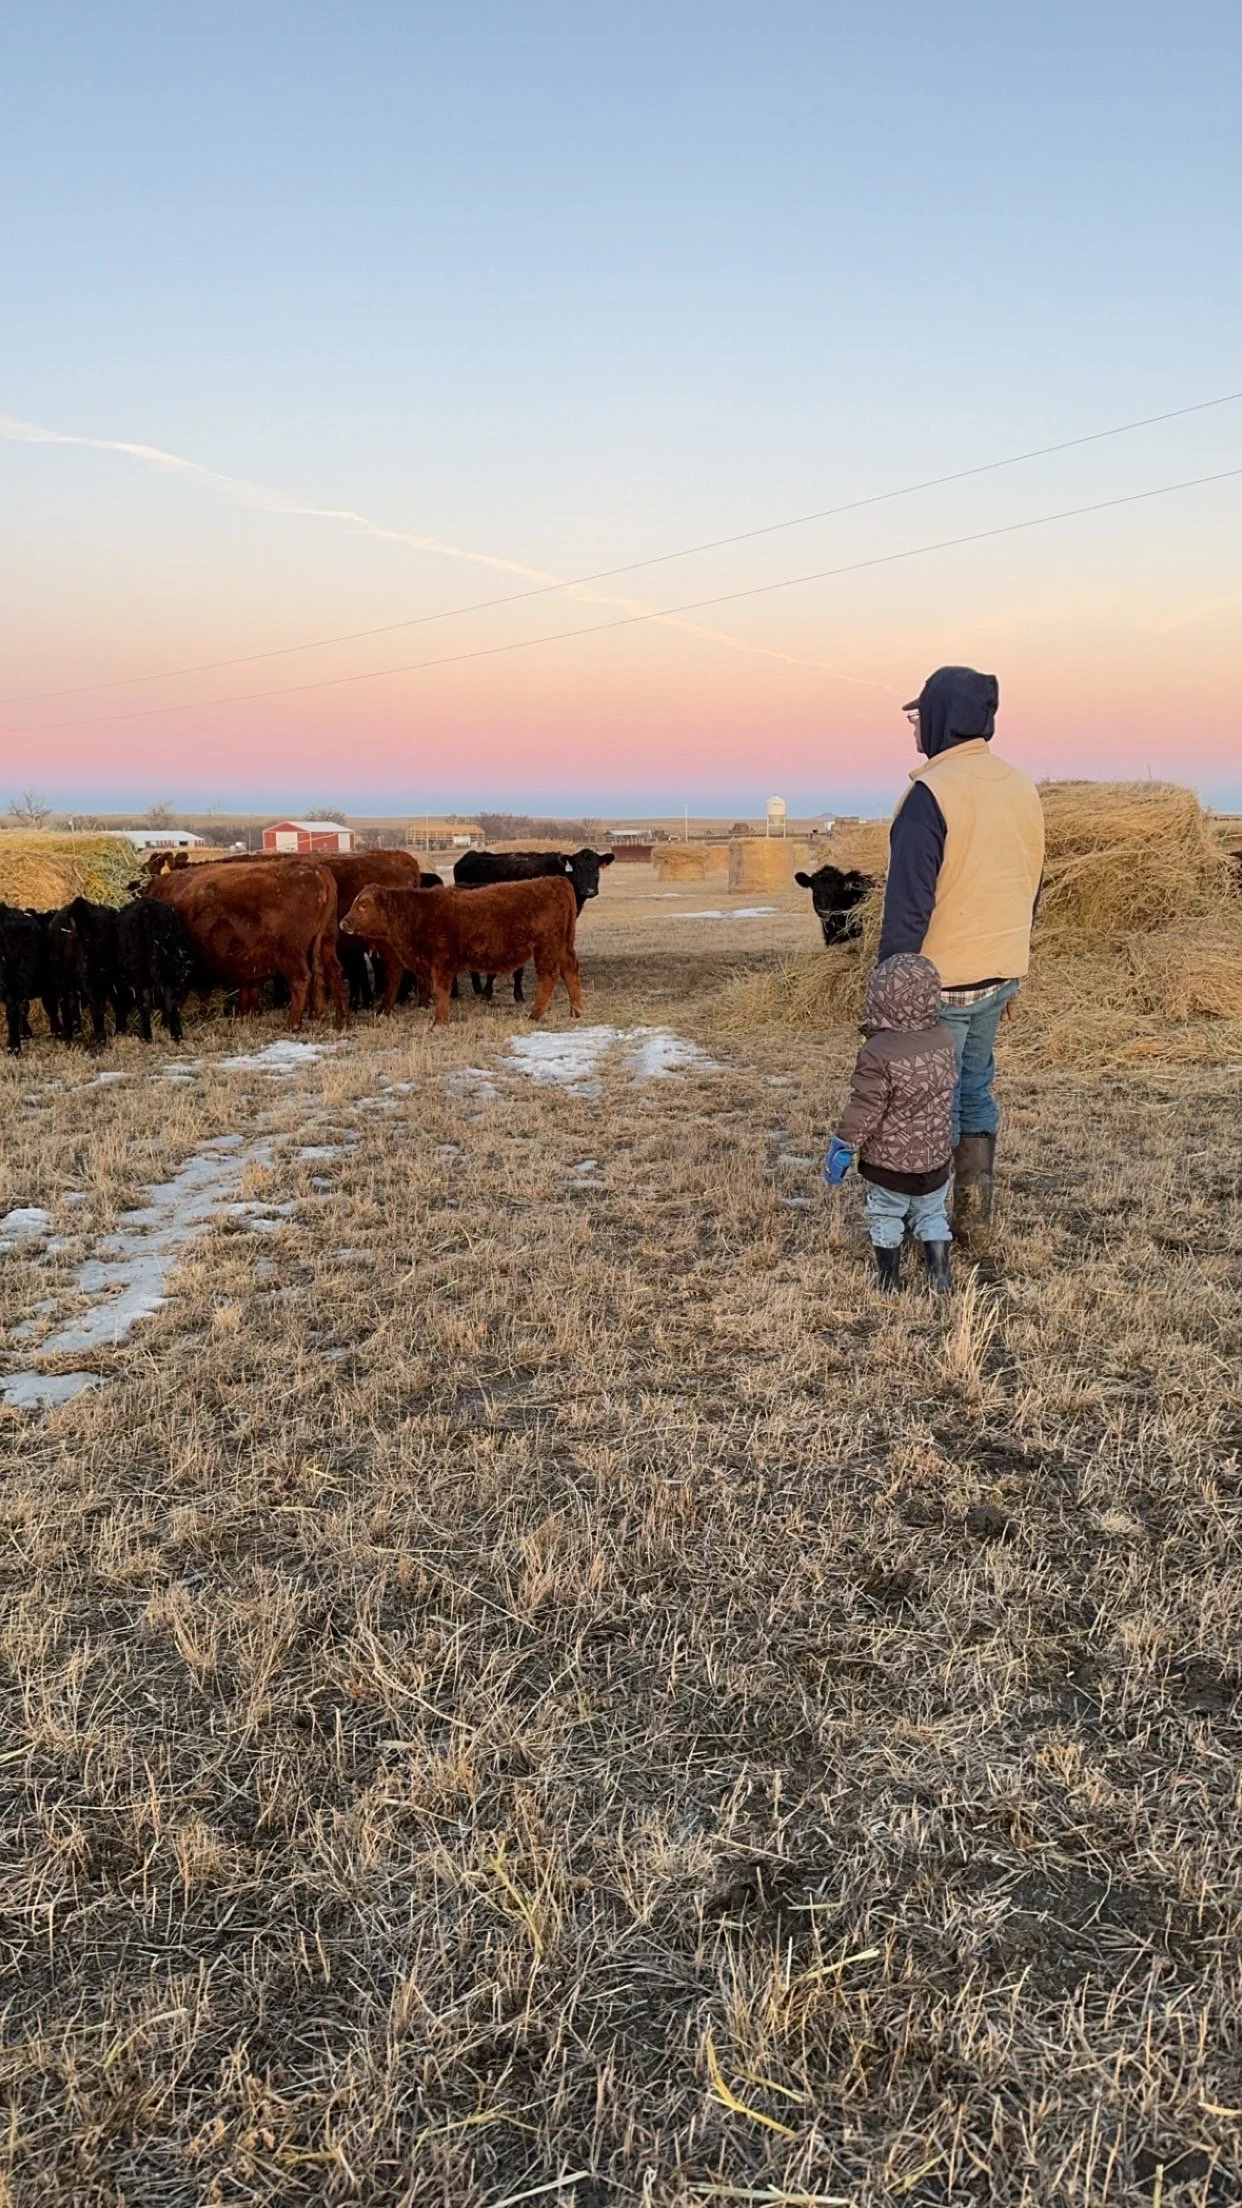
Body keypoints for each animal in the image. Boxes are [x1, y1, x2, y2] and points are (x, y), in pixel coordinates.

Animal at [116, 899, 196, 1042]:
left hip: (142, 971)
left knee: (147, 1002)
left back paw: (148, 1036)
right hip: (164, 969)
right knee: (166, 1001)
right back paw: (172, 1035)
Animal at [143, 859, 347, 1030]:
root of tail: (316, 870)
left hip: (291, 953)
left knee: (301, 980)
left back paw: (293, 1025)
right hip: (327, 942)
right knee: (334, 972)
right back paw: (341, 1019)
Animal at [342, 876, 582, 1027]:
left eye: (363, 905)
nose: (343, 923)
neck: (416, 913)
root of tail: (556, 881)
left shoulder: (441, 964)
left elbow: (441, 991)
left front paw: (439, 1022)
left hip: (546, 947)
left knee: (548, 977)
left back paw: (535, 1014)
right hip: (562, 947)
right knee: (569, 972)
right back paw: (575, 1011)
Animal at [452, 847, 614, 1000]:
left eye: (596, 867)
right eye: (578, 867)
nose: (590, 890)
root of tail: (471, 854)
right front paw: (491, 993)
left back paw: (476, 988)